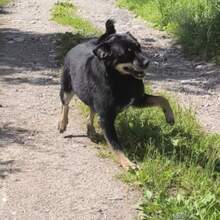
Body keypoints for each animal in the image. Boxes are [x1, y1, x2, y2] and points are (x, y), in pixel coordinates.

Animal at [57, 19, 174, 170]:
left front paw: (170, 116)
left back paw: (91, 131)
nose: (147, 62)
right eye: (127, 54)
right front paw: (127, 163)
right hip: (67, 87)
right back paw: (62, 123)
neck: (122, 79)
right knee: (65, 105)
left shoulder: (138, 100)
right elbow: (116, 145)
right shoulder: (106, 118)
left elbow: (162, 99)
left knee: (91, 112)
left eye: (139, 47)